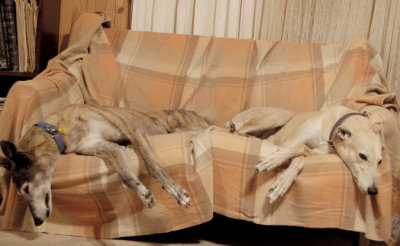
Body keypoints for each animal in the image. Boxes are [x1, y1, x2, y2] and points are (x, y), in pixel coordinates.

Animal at [0, 103, 211, 226]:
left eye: (26, 190)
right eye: (21, 195)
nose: (36, 222)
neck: (58, 130)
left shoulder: (133, 131)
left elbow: (152, 165)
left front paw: (176, 191)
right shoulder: (110, 148)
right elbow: (126, 177)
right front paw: (144, 194)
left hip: (181, 125)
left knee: (208, 128)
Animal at [227, 105, 382, 204]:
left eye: (380, 162)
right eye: (362, 156)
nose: (373, 191)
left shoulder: (318, 151)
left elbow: (300, 157)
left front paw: (281, 183)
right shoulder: (292, 141)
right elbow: (298, 146)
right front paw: (272, 161)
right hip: (280, 116)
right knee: (239, 130)